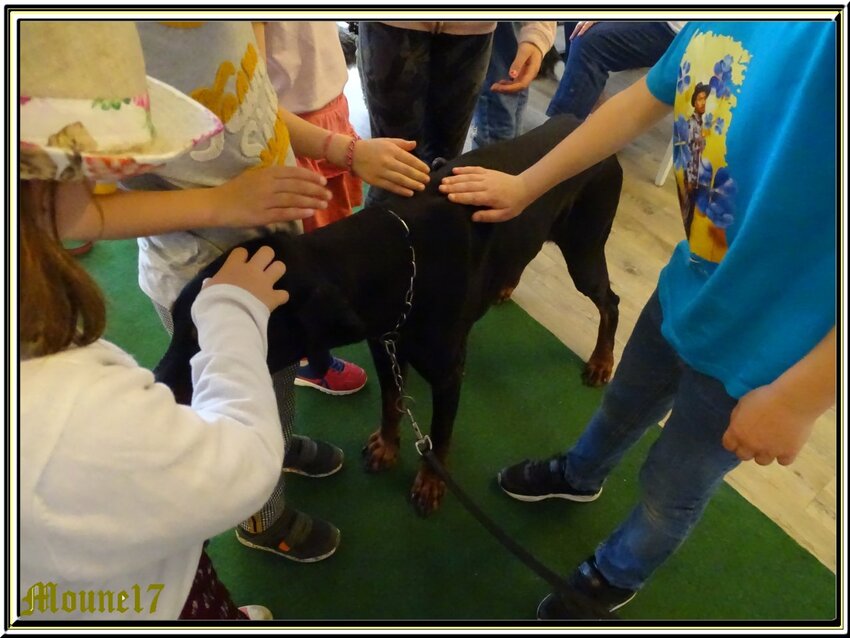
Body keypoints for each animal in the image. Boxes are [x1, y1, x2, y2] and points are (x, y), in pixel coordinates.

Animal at [154, 115, 616, 516]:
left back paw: (601, 361)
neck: (402, 256)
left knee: (609, 301)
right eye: (178, 321)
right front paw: (388, 446)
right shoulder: (384, 342)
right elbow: (392, 400)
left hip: (584, 246)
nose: (158, 383)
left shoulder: (448, 372)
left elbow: (440, 433)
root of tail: (579, 120)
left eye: (205, 332)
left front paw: (430, 482)